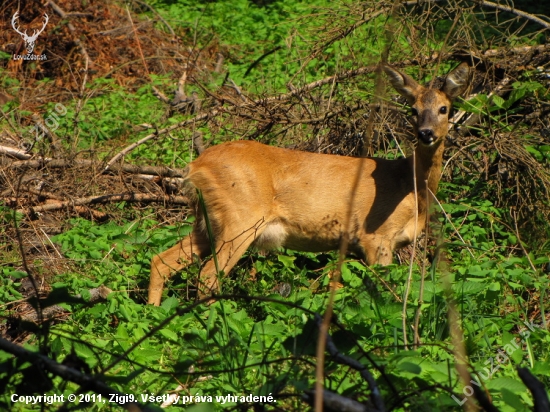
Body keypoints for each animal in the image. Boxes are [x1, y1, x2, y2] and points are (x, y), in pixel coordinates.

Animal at [149, 62, 472, 306]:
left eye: (444, 108)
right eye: (413, 110)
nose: (426, 133)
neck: (410, 184)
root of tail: (195, 167)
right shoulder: (375, 237)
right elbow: (381, 290)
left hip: (207, 221)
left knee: (161, 261)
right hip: (239, 219)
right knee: (207, 276)